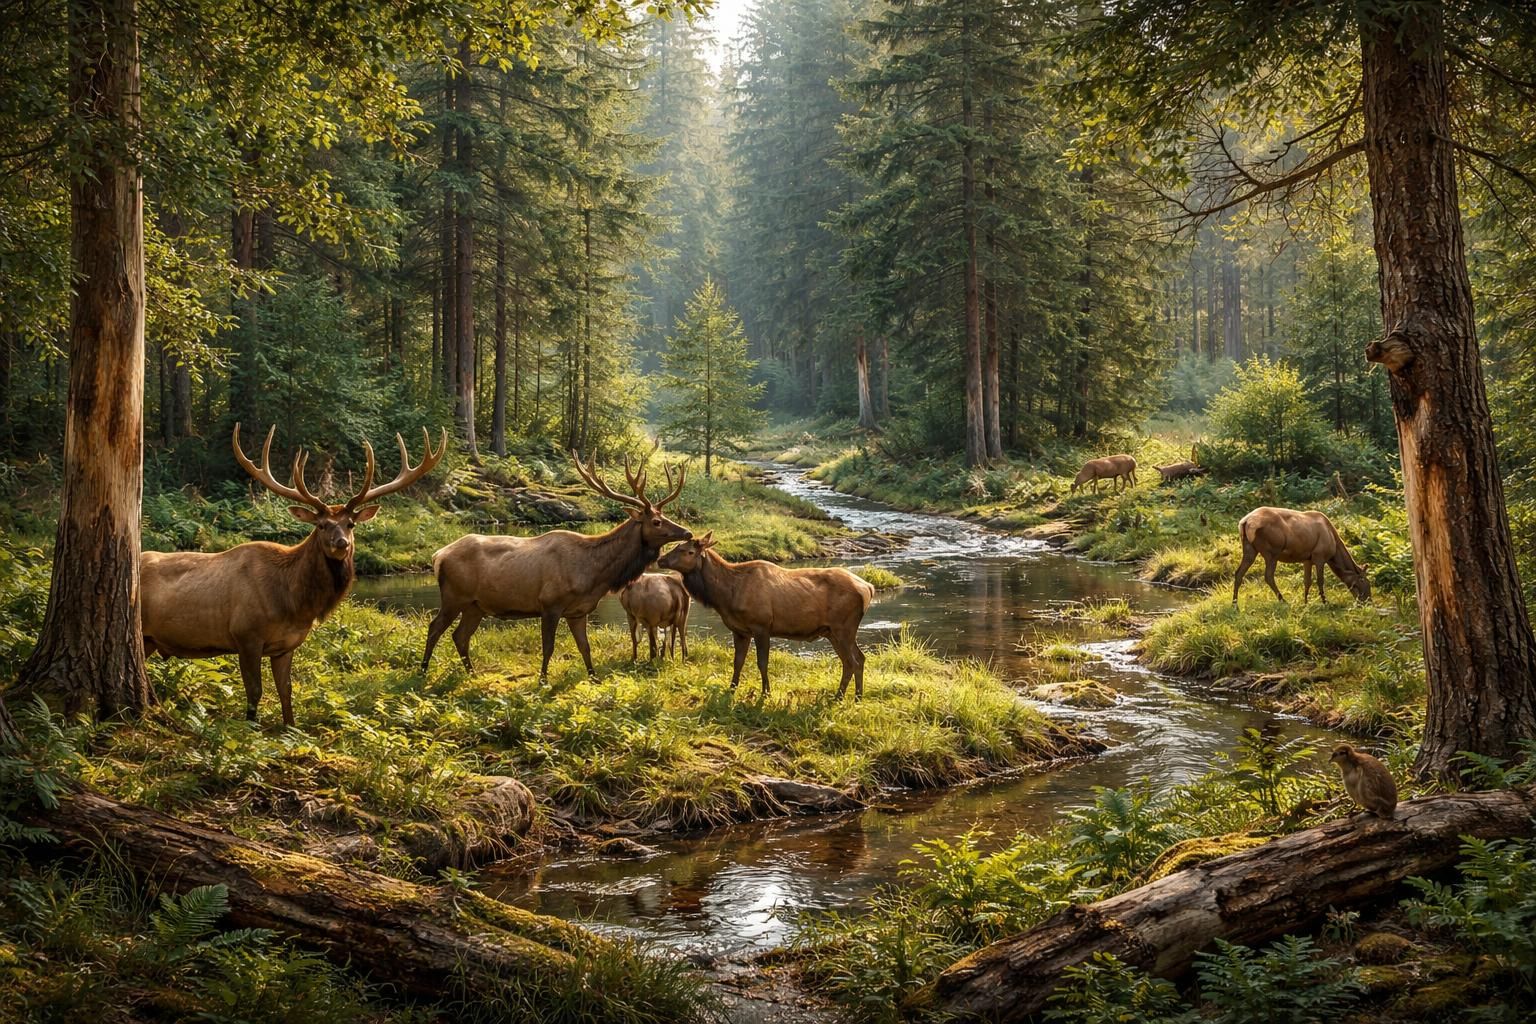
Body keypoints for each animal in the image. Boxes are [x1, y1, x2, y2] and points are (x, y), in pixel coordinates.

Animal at [140, 424, 446, 726]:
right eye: (322, 525)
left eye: (350, 524)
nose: (341, 544)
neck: (294, 603)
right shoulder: (245, 634)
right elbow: (255, 691)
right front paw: (252, 728)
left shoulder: (286, 646)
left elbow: (286, 693)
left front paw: (291, 729)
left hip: (150, 640)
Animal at [422, 450, 689, 677]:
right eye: (656, 521)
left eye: (665, 516)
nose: (686, 532)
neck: (595, 576)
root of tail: (438, 555)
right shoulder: (550, 603)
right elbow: (548, 647)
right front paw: (543, 680)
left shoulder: (578, 611)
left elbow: (585, 647)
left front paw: (593, 678)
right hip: (454, 596)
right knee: (435, 628)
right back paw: (423, 672)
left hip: (475, 605)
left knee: (460, 636)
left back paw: (472, 674)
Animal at [656, 533, 875, 699]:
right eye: (676, 545)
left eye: (688, 551)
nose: (660, 559)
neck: (726, 596)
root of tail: (869, 588)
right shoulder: (740, 630)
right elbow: (738, 662)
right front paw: (731, 689)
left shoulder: (761, 626)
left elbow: (762, 663)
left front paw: (765, 693)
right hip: (833, 632)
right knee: (858, 659)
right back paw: (854, 697)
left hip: (843, 628)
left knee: (852, 661)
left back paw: (843, 697)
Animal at [1232, 506, 1372, 606]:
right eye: (1364, 580)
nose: (1368, 601)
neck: (1334, 549)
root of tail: (1245, 522)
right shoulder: (1319, 556)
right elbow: (1320, 581)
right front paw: (1325, 602)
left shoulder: (1307, 559)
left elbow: (1307, 581)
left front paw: (1305, 602)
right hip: (1272, 551)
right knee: (1268, 576)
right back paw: (1283, 600)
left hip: (1250, 549)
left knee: (1238, 573)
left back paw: (1235, 604)